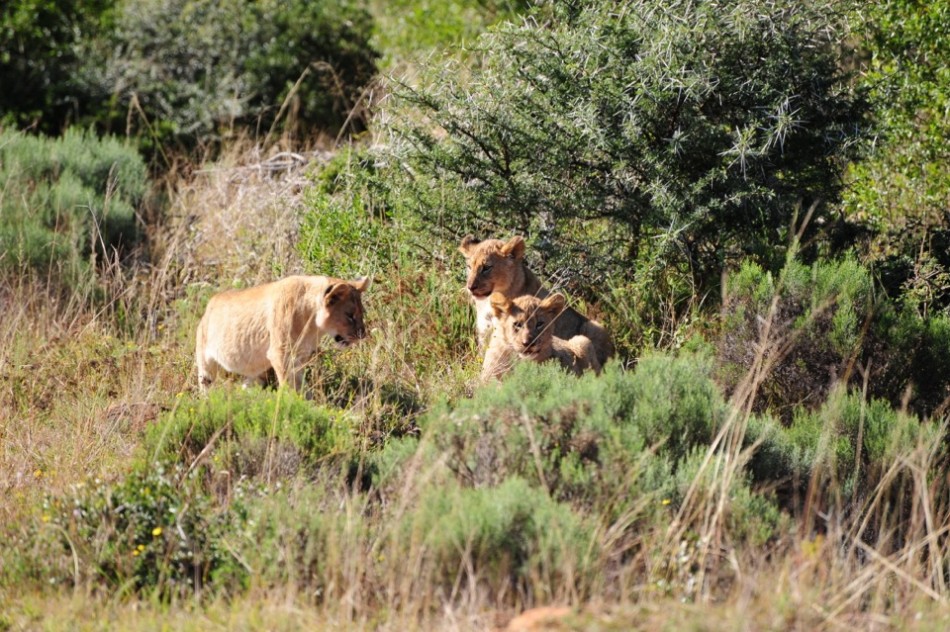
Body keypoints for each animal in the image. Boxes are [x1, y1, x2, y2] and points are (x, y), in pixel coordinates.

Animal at [195, 275, 370, 393]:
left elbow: (301, 385)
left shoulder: (300, 357)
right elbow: (290, 386)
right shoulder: (280, 353)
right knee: (206, 387)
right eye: (350, 315)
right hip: (205, 364)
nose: (362, 335)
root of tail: (210, 304)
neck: (313, 324)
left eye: (361, 313)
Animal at [458, 234, 613, 365]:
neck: (487, 304)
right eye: (469, 267)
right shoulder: (485, 334)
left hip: (594, 328)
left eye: (486, 267)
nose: (470, 287)